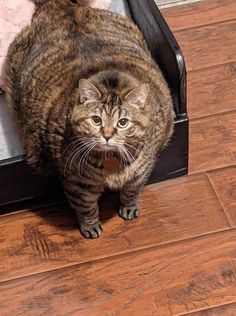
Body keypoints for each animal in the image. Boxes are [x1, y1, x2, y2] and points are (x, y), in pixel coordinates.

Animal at [5, 0, 174, 237]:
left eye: (123, 122)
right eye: (96, 120)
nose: (107, 135)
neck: (113, 163)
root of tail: (61, 6)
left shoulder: (144, 167)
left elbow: (133, 189)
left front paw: (129, 207)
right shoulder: (77, 182)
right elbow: (85, 206)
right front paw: (90, 226)